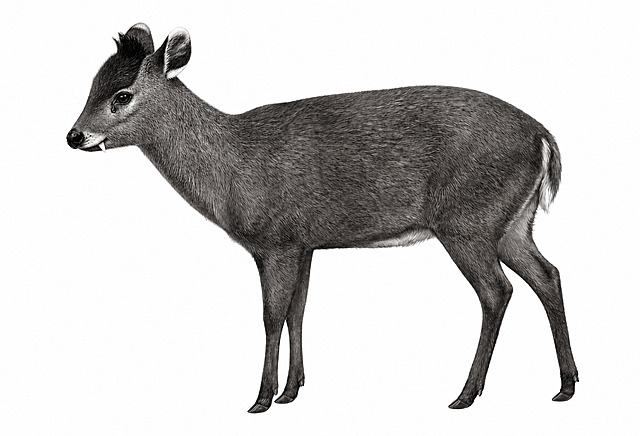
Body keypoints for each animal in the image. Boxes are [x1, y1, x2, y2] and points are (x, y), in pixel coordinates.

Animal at [67, 23, 578, 413]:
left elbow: (271, 315)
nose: (74, 136)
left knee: (497, 291)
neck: (230, 167)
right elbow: (299, 309)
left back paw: (466, 394)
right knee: (547, 274)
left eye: (122, 94)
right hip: (512, 221)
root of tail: (544, 138)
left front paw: (261, 399)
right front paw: (292, 391)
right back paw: (566, 385)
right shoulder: (304, 243)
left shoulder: (273, 240)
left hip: (466, 220)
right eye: (92, 85)